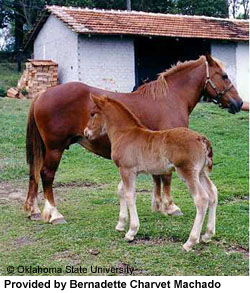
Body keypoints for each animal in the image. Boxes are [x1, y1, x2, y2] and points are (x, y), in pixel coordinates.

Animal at [84, 94, 217, 250]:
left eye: (92, 114)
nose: (86, 132)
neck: (125, 133)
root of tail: (201, 139)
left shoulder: (126, 169)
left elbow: (129, 195)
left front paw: (131, 231)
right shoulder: (129, 171)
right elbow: (120, 190)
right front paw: (121, 224)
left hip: (188, 172)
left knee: (201, 199)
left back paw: (190, 241)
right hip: (201, 173)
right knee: (213, 193)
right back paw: (207, 235)